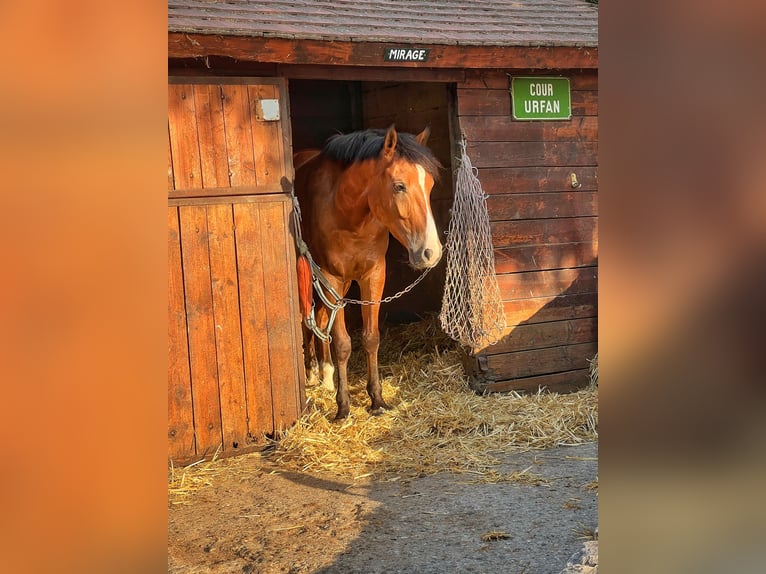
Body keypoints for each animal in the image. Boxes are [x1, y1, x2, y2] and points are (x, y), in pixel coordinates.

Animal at [294, 125, 443, 420]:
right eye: (399, 186)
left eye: (429, 184)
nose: (431, 252)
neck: (347, 213)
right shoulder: (331, 277)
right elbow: (342, 343)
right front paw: (343, 407)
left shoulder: (373, 276)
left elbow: (371, 338)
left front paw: (377, 399)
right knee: (307, 319)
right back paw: (312, 371)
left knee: (320, 318)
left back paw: (326, 374)